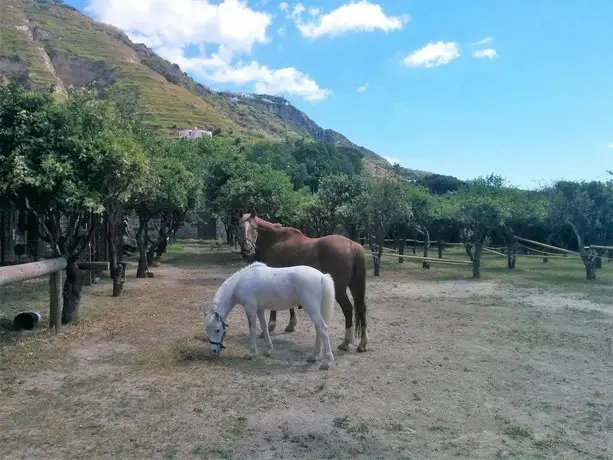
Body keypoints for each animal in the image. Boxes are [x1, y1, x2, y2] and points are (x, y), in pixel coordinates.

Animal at [203, 262, 334, 370]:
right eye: (207, 330)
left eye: (218, 330)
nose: (214, 351)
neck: (241, 282)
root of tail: (322, 276)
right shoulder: (260, 309)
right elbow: (264, 327)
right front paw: (268, 350)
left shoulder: (250, 308)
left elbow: (252, 328)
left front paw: (250, 353)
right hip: (315, 310)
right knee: (318, 330)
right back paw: (314, 356)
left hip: (312, 309)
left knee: (322, 328)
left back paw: (326, 362)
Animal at [235, 212, 368, 352]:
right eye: (239, 227)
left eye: (254, 227)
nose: (247, 249)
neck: (276, 240)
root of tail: (353, 245)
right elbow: (290, 305)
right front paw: (291, 324)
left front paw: (271, 326)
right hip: (355, 286)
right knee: (362, 309)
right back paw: (362, 344)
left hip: (339, 289)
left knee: (348, 309)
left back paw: (346, 342)